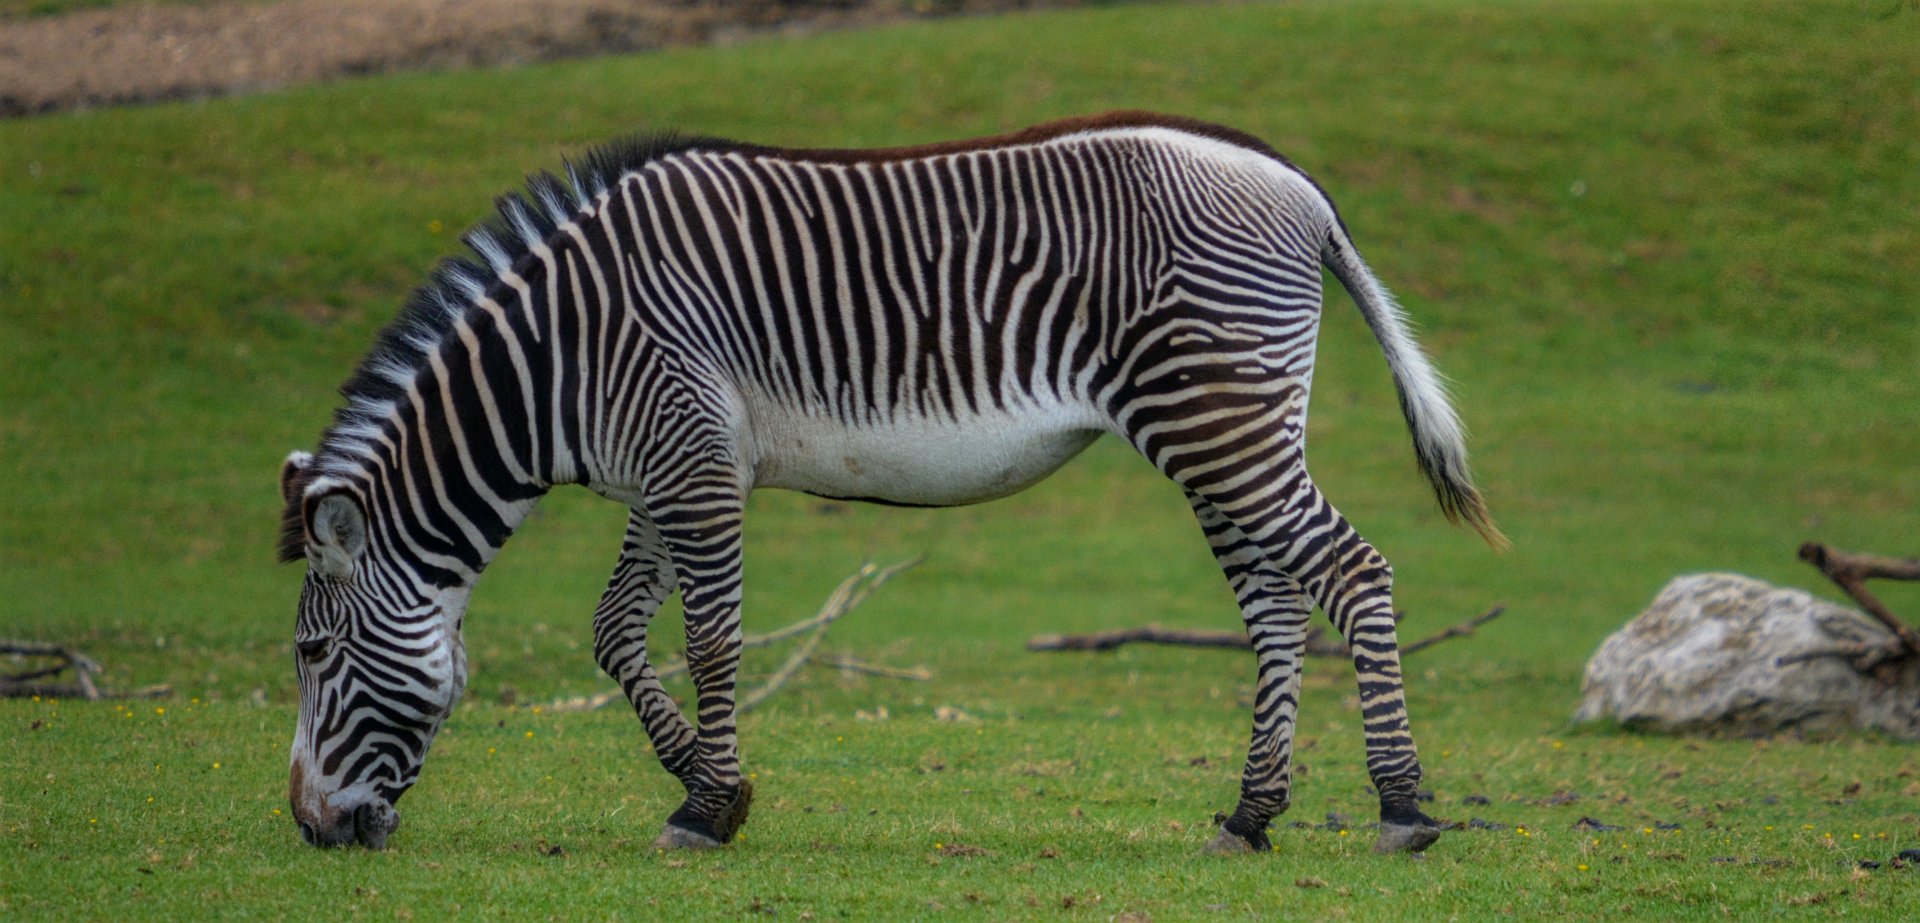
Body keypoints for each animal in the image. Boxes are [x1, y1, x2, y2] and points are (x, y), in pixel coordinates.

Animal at [279, 111, 1504, 855]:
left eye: (312, 653)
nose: (311, 828)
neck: (557, 358)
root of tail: (1297, 185)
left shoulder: (691, 459)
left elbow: (709, 639)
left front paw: (710, 807)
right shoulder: (663, 469)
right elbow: (616, 632)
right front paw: (701, 783)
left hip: (1217, 417)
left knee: (1354, 570)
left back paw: (1403, 805)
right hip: (1229, 428)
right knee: (1277, 602)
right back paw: (1251, 812)